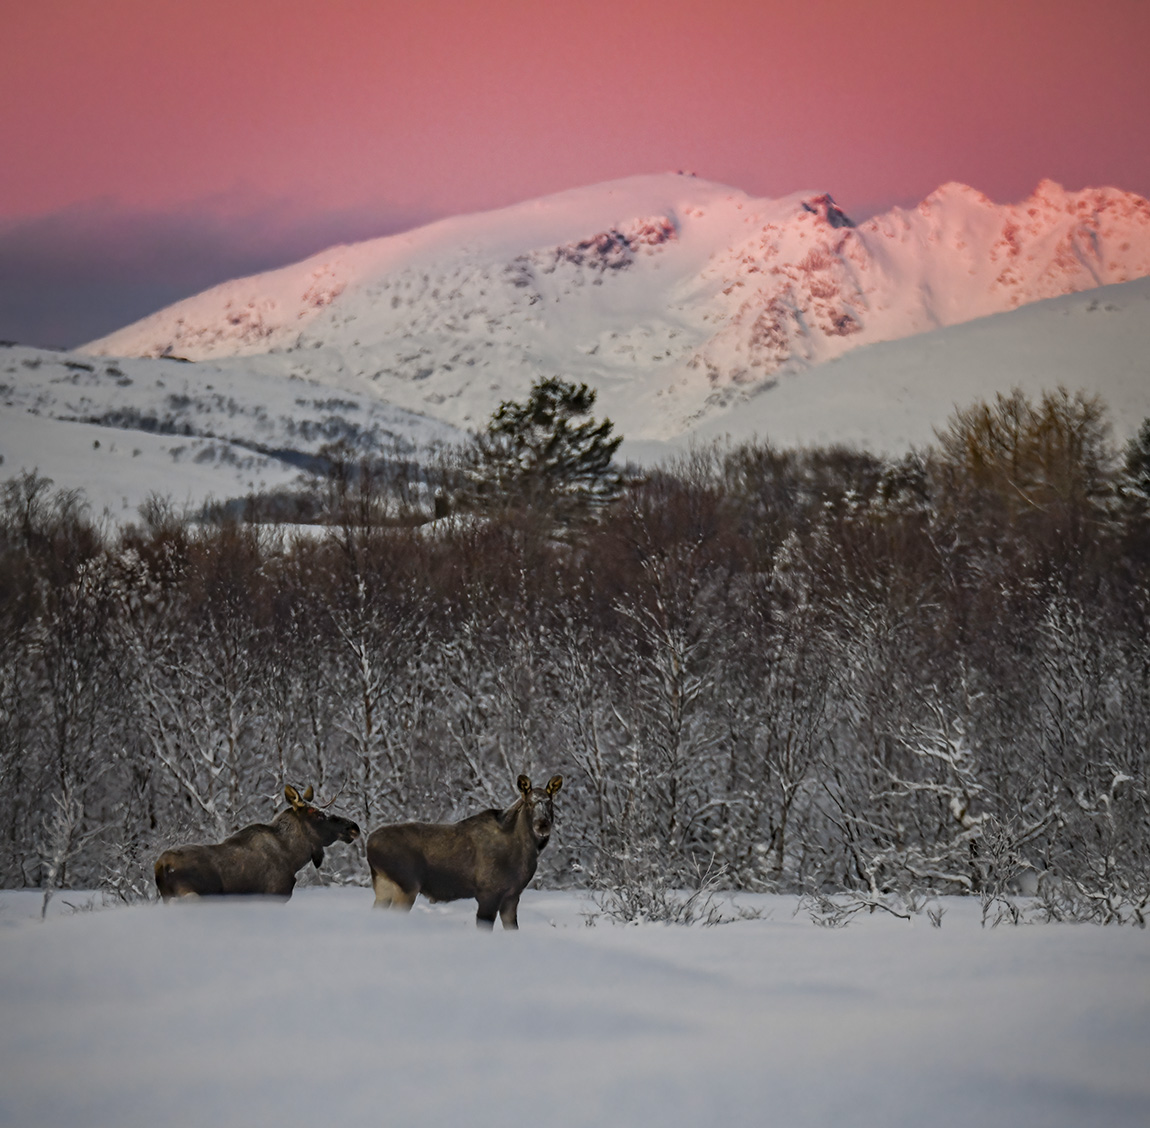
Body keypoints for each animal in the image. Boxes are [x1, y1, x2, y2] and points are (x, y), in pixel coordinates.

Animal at [368, 768, 561, 929]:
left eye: (550, 803)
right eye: (529, 803)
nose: (542, 825)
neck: (526, 853)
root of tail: (368, 842)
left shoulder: (512, 895)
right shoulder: (488, 893)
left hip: (383, 886)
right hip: (407, 884)